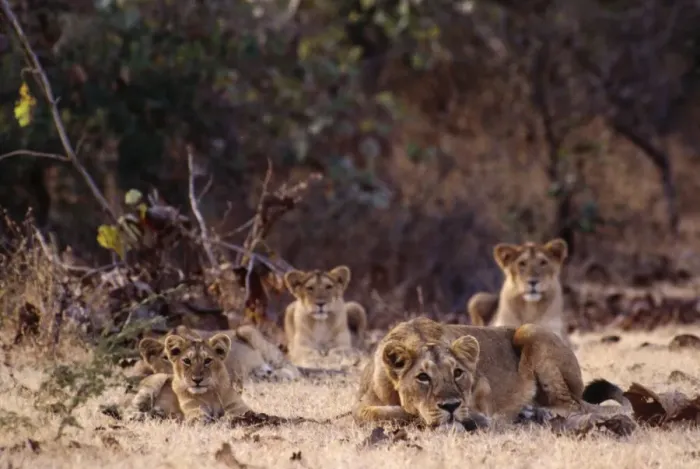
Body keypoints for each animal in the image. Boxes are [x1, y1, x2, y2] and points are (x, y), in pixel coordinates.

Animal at [352, 317, 630, 429]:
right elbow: (371, 414)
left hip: (529, 330)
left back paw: (538, 413)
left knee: (573, 406)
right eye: (423, 377)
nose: (451, 406)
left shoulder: (482, 387)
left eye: (458, 373)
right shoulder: (361, 404)